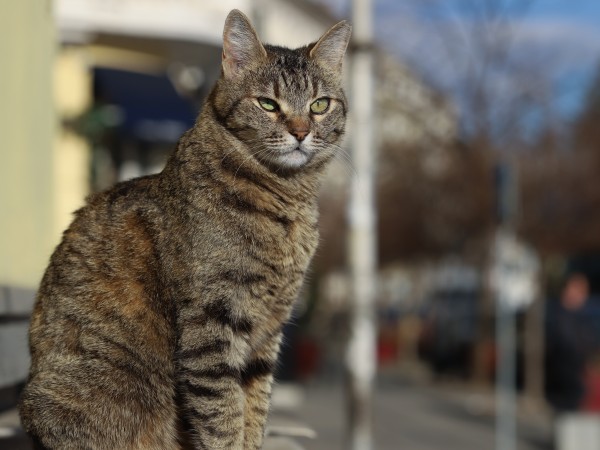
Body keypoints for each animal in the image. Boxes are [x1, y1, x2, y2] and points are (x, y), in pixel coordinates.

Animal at [18, 7, 352, 450]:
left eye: (319, 105)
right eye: (268, 104)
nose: (301, 131)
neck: (287, 200)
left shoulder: (268, 331)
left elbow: (254, 410)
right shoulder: (211, 322)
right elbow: (223, 416)